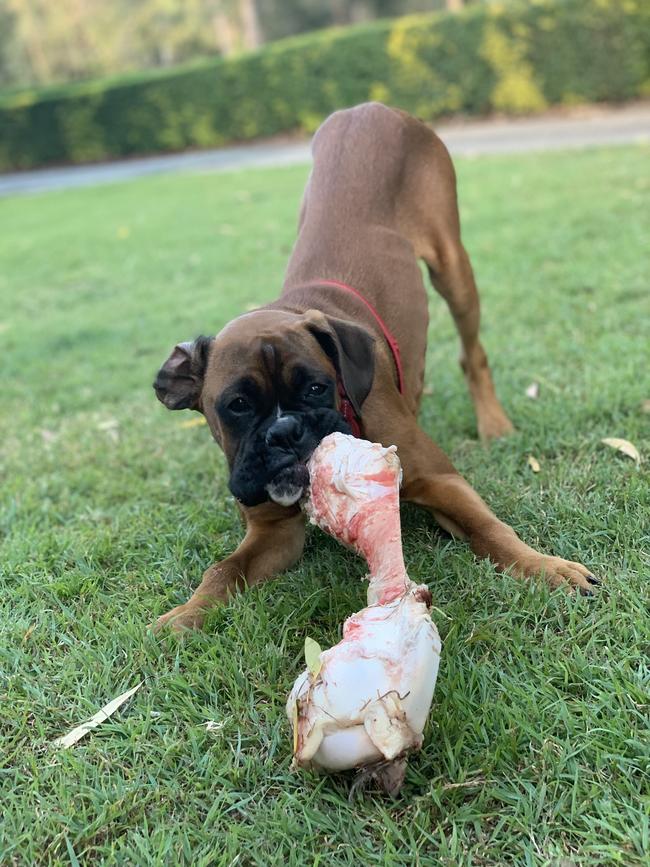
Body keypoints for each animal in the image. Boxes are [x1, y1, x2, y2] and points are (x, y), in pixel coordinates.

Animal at [152, 101, 596, 632]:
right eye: (237, 405)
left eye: (317, 388)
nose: (284, 432)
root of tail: (369, 107)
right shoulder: (273, 533)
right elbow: (223, 569)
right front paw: (183, 616)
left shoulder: (444, 483)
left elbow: (492, 530)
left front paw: (546, 568)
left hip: (453, 267)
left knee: (473, 352)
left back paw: (494, 424)